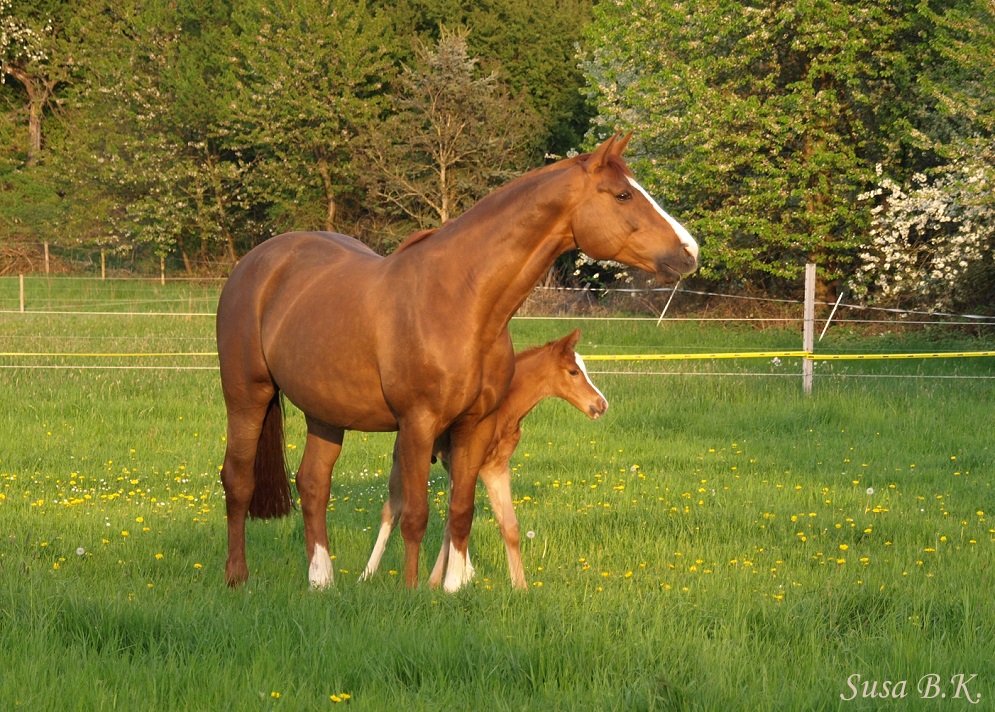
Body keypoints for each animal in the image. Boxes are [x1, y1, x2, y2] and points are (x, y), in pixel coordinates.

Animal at [218, 134, 700, 588]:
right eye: (622, 194)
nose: (690, 251)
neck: (462, 299)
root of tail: (255, 264)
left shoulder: (475, 426)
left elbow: (461, 511)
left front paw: (452, 587)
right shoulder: (418, 424)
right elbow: (415, 514)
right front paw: (411, 591)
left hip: (325, 412)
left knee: (314, 485)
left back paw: (322, 582)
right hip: (247, 398)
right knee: (237, 481)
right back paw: (237, 576)